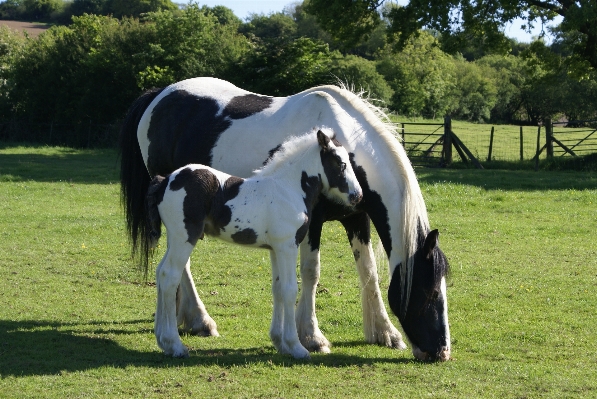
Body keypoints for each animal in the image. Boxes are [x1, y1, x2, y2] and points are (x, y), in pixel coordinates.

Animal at [145, 131, 364, 360]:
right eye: (340, 163)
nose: (357, 196)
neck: (289, 189)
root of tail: (165, 181)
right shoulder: (287, 246)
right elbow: (289, 290)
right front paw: (296, 347)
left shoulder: (275, 249)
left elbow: (278, 289)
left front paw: (280, 343)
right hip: (184, 237)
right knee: (170, 276)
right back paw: (175, 345)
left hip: (174, 237)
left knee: (160, 272)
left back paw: (162, 340)